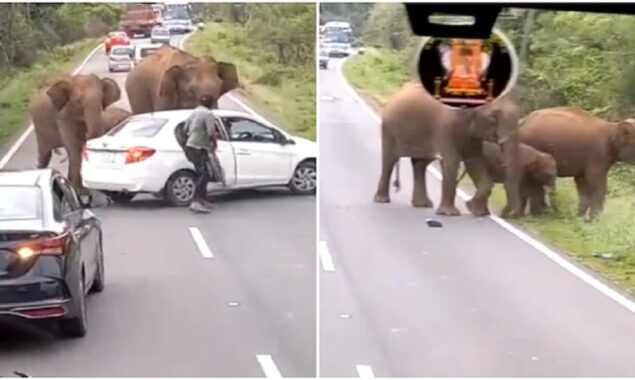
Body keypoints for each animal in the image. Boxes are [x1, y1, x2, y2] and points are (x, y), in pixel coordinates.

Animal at [372, 81, 520, 217]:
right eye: (494, 116)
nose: (505, 214)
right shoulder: (444, 126)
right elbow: (451, 162)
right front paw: (450, 214)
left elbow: (475, 162)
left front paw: (475, 211)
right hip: (389, 128)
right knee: (390, 160)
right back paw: (382, 200)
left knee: (420, 164)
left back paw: (422, 204)